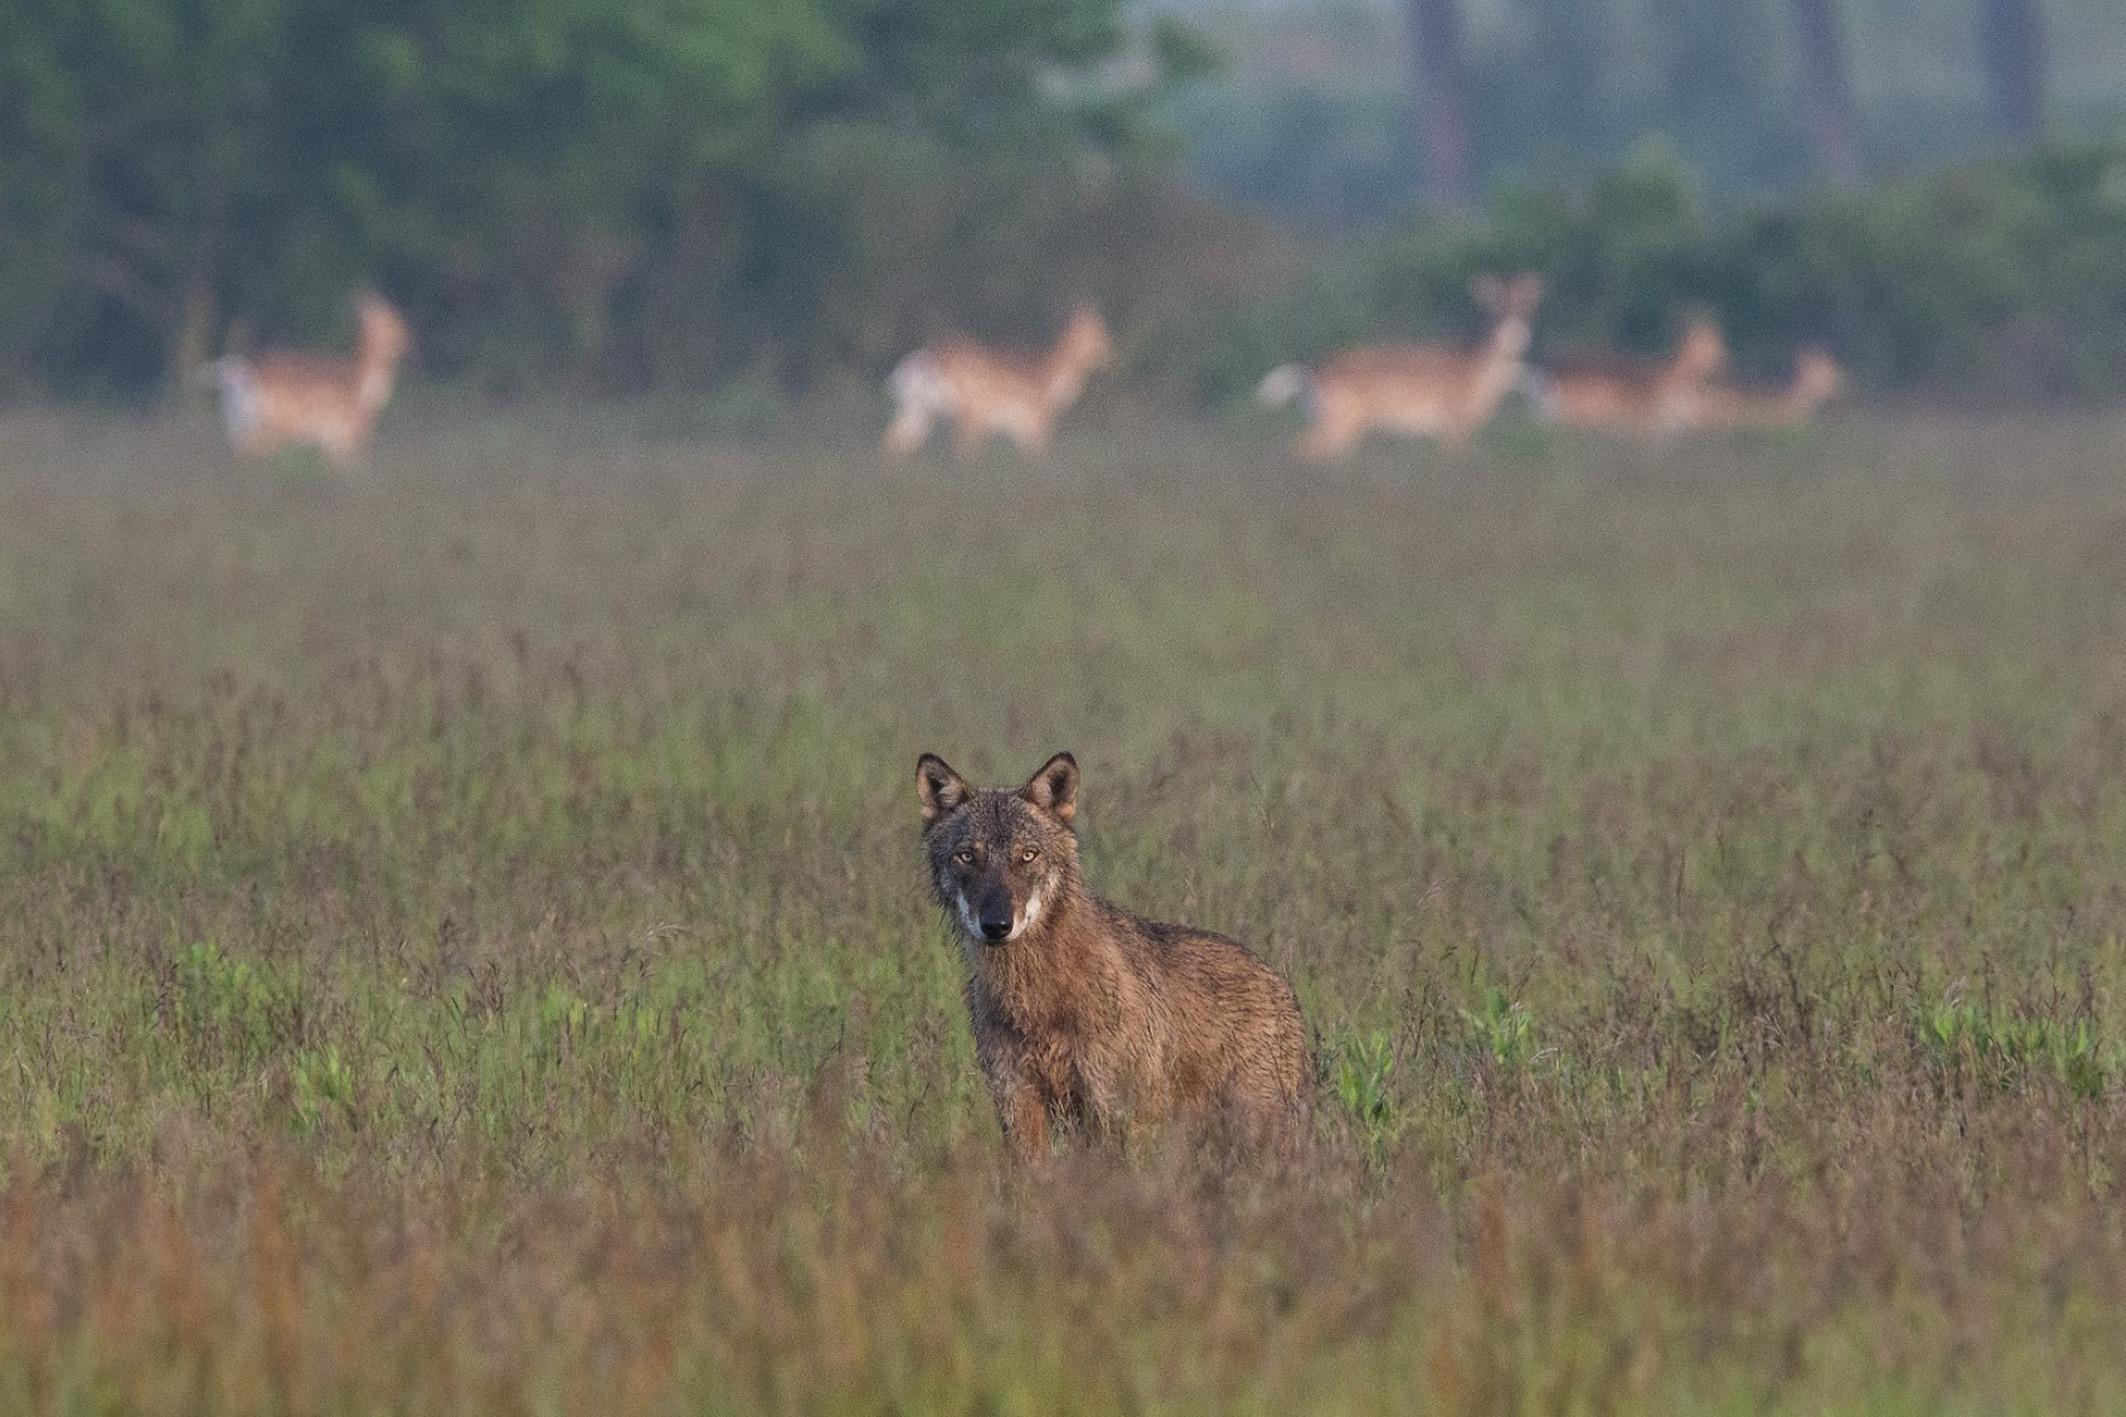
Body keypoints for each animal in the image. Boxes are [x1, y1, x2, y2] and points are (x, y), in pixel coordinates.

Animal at [203, 297, 410, 467]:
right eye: (390, 320)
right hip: (273, 424)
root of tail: (238, 371)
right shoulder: (343, 438)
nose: (407, 340)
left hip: (236, 420)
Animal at [880, 305, 1114, 456]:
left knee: (894, 440)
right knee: (959, 450)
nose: (1109, 354)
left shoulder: (1018, 426)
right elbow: (1041, 457)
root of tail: (918, 361)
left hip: (918, 407)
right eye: (1097, 330)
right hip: (967, 410)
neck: (1051, 376)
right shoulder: (1036, 417)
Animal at [918, 752, 1301, 1164]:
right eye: (967, 857)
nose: (996, 925)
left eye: (1028, 855)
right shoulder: (1018, 1106)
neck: (1038, 999)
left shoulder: (1118, 1112)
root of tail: (1279, 982)